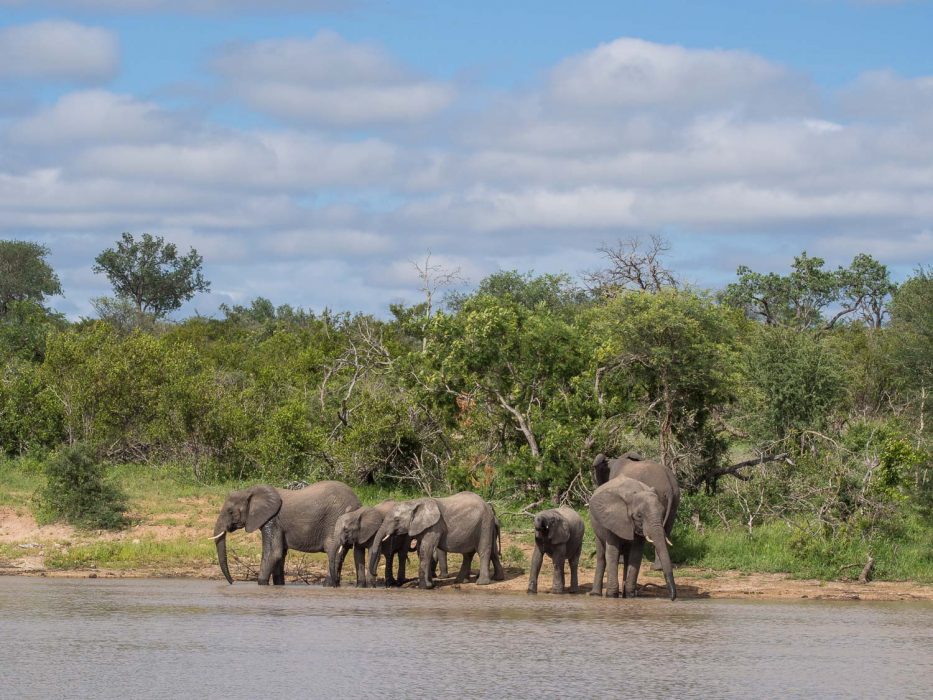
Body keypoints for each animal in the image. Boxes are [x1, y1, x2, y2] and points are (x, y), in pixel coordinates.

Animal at [212, 482, 360, 584]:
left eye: (230, 512)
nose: (232, 582)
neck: (250, 491)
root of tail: (358, 502)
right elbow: (280, 554)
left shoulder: (272, 520)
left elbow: (273, 553)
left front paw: (261, 583)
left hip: (336, 519)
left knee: (333, 551)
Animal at [368, 492, 506, 592]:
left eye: (397, 520)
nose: (375, 574)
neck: (415, 502)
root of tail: (488, 506)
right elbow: (422, 550)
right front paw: (430, 585)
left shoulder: (434, 526)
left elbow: (426, 550)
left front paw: (425, 587)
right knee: (472, 554)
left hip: (484, 524)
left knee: (483, 550)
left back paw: (481, 583)